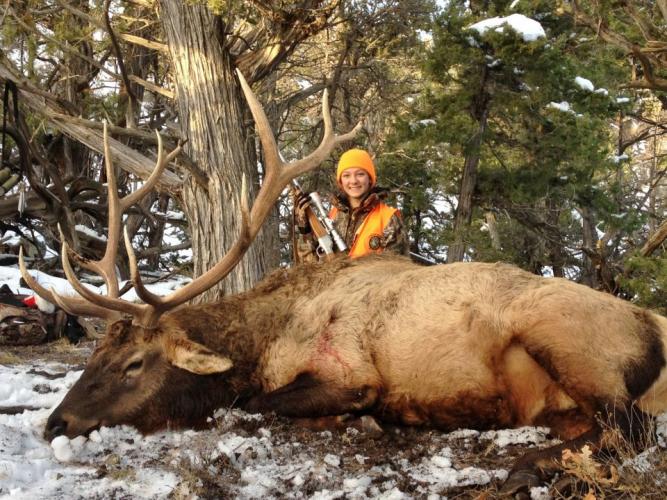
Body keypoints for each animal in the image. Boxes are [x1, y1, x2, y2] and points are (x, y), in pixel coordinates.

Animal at [20, 70, 667, 495]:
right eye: (96, 353)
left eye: (134, 364)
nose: (56, 423)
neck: (264, 339)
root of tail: (652, 327)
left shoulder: (352, 372)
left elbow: (256, 401)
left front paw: (356, 420)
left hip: (562, 334)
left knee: (635, 430)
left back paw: (522, 470)